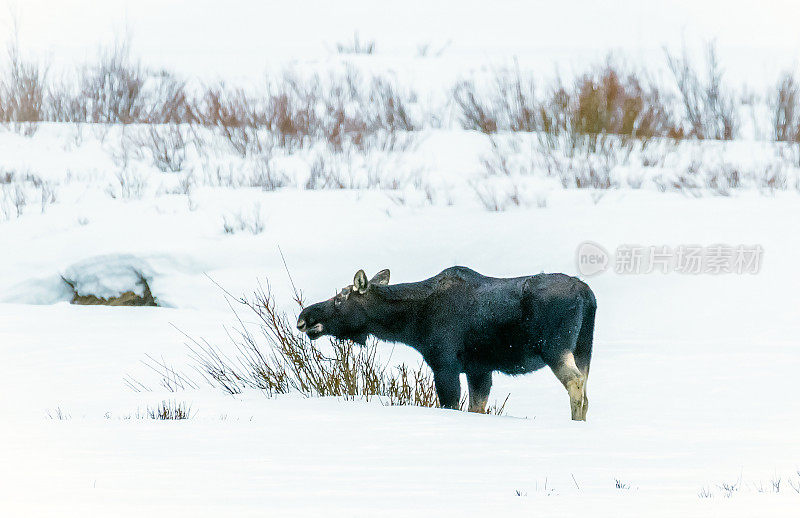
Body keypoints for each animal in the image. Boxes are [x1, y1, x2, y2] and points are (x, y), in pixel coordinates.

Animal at [296, 268, 596, 422]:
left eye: (340, 298)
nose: (303, 318)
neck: (412, 325)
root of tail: (588, 295)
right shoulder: (479, 368)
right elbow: (477, 407)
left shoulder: (445, 364)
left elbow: (450, 403)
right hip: (584, 348)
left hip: (555, 347)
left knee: (575, 382)